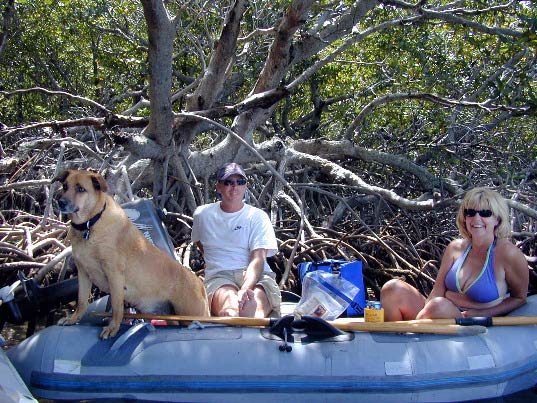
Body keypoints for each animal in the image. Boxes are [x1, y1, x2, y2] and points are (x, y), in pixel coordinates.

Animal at [54, 169, 208, 340]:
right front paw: (72, 319)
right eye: (65, 186)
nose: (60, 202)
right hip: (172, 317)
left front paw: (113, 328)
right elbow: (81, 301)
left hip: (192, 315)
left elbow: (116, 307)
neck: (90, 225)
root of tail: (200, 283)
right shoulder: (83, 273)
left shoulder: (114, 274)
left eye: (80, 188)